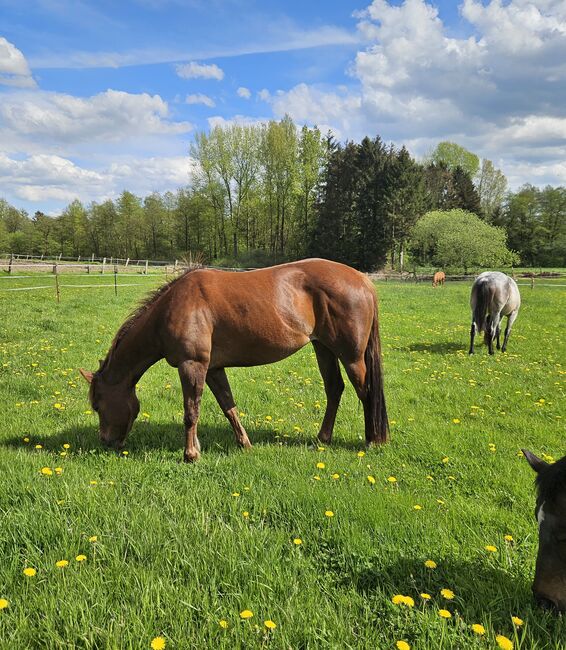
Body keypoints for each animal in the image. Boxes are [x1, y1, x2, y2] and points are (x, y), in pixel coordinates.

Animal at [80, 258, 390, 460]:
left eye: (97, 404)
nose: (106, 442)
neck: (173, 307)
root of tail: (363, 280)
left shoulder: (192, 365)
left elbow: (191, 411)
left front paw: (190, 454)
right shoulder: (213, 369)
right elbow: (228, 407)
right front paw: (243, 444)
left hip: (351, 356)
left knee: (365, 392)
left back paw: (372, 441)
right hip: (323, 349)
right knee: (334, 389)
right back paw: (322, 439)